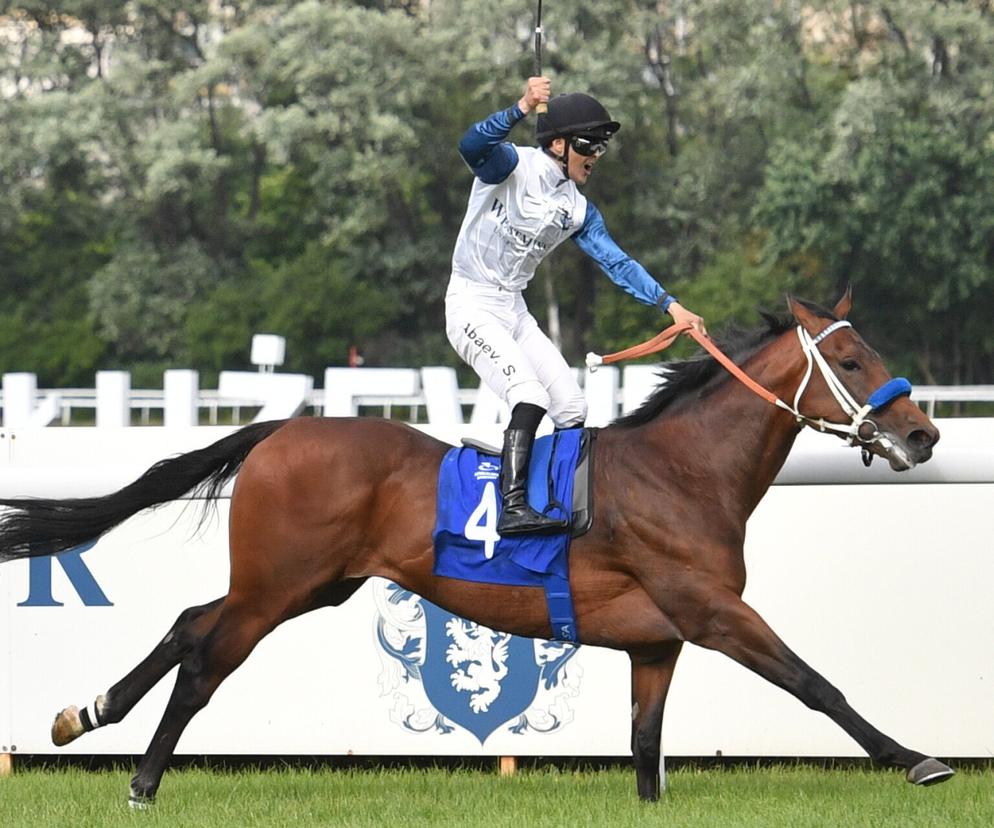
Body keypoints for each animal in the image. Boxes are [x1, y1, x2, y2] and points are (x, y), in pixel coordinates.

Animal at [0, 292, 952, 804]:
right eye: (856, 362)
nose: (925, 433)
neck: (683, 473)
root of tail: (279, 428)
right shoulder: (713, 612)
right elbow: (815, 683)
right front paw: (916, 760)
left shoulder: (655, 642)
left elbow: (646, 748)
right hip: (278, 585)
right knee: (204, 655)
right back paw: (141, 782)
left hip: (312, 584)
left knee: (190, 620)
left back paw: (84, 713)